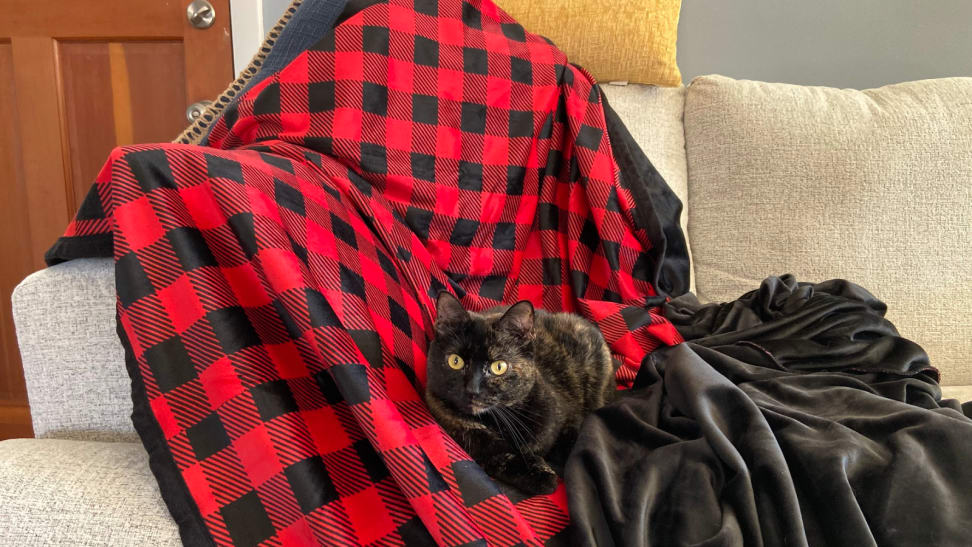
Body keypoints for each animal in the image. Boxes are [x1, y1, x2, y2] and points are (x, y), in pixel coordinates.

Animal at [426, 294, 616, 494]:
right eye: (455, 361)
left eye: (499, 367)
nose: (472, 389)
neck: (498, 421)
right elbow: (502, 458)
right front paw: (542, 476)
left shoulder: (565, 417)